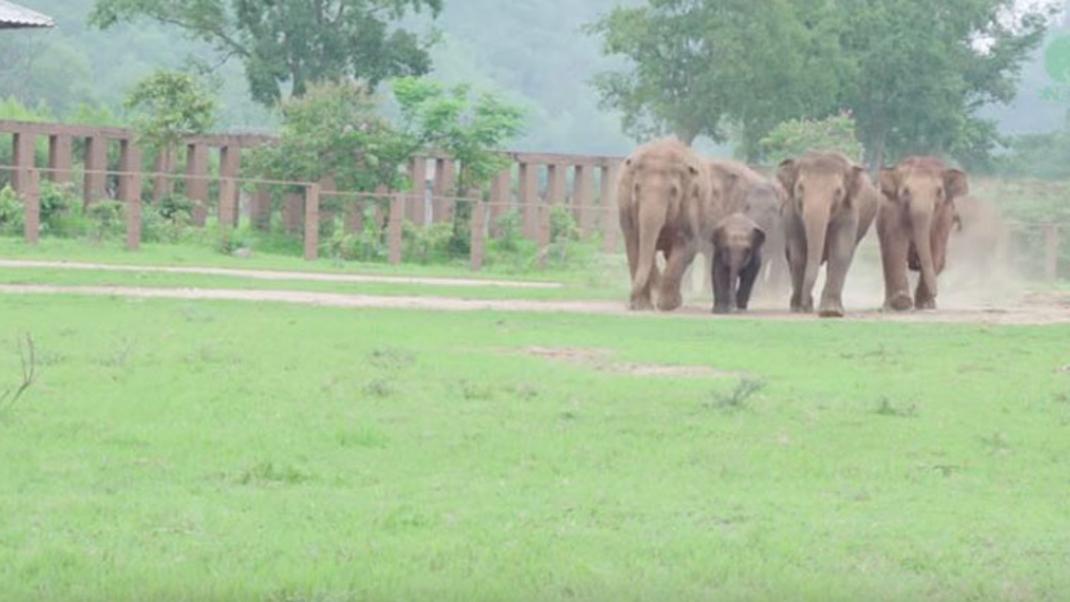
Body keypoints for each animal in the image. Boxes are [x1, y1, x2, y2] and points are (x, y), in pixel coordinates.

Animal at [620, 140, 736, 310]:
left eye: (673, 191)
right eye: (636, 188)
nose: (629, 303)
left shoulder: (690, 205)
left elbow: (685, 246)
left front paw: (667, 306)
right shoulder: (625, 207)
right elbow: (635, 246)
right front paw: (643, 307)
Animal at [778, 150, 877, 318]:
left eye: (838, 191)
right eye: (800, 188)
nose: (805, 305)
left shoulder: (849, 210)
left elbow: (840, 251)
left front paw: (831, 312)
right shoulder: (790, 211)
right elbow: (798, 254)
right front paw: (799, 308)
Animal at [877, 155, 971, 310]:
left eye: (939, 192)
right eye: (906, 191)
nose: (935, 292)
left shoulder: (944, 216)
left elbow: (936, 250)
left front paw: (925, 304)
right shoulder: (893, 211)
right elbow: (896, 247)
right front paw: (902, 302)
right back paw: (888, 305)